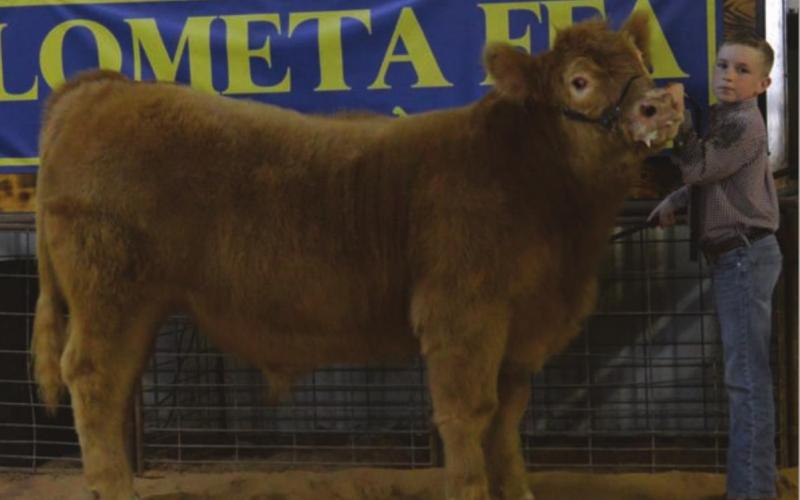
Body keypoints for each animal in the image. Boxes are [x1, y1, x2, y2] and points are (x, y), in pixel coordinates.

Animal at [32, 12, 682, 500]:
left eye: (642, 65)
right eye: (579, 81)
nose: (661, 104)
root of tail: (104, 88)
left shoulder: (522, 327)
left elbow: (507, 418)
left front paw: (517, 491)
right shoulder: (462, 315)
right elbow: (469, 414)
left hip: (133, 304)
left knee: (114, 384)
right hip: (110, 288)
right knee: (92, 377)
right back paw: (114, 488)